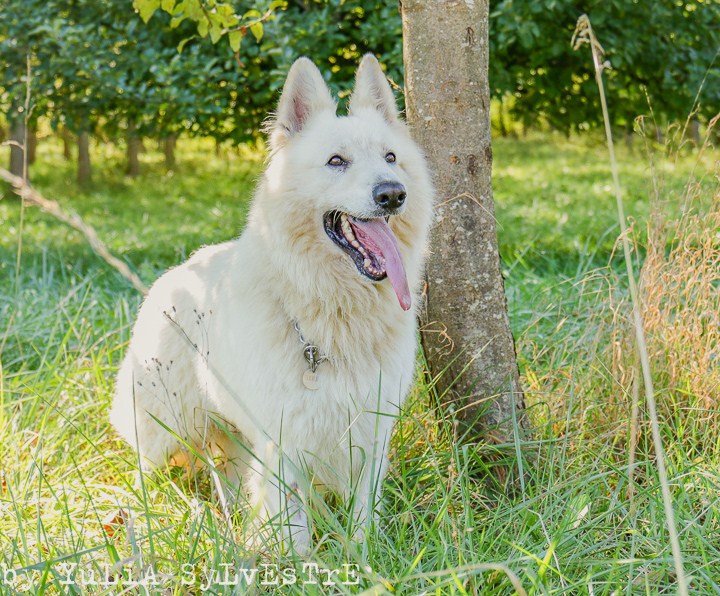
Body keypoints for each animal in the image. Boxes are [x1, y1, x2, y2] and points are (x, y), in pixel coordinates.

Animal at [111, 53, 434, 552]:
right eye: (336, 161)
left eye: (390, 158)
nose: (392, 193)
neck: (331, 312)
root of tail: (177, 273)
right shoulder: (283, 443)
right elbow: (294, 529)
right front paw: (299, 565)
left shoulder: (371, 434)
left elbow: (363, 518)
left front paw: (364, 559)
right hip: (166, 424)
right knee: (148, 468)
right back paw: (142, 519)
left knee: (227, 476)